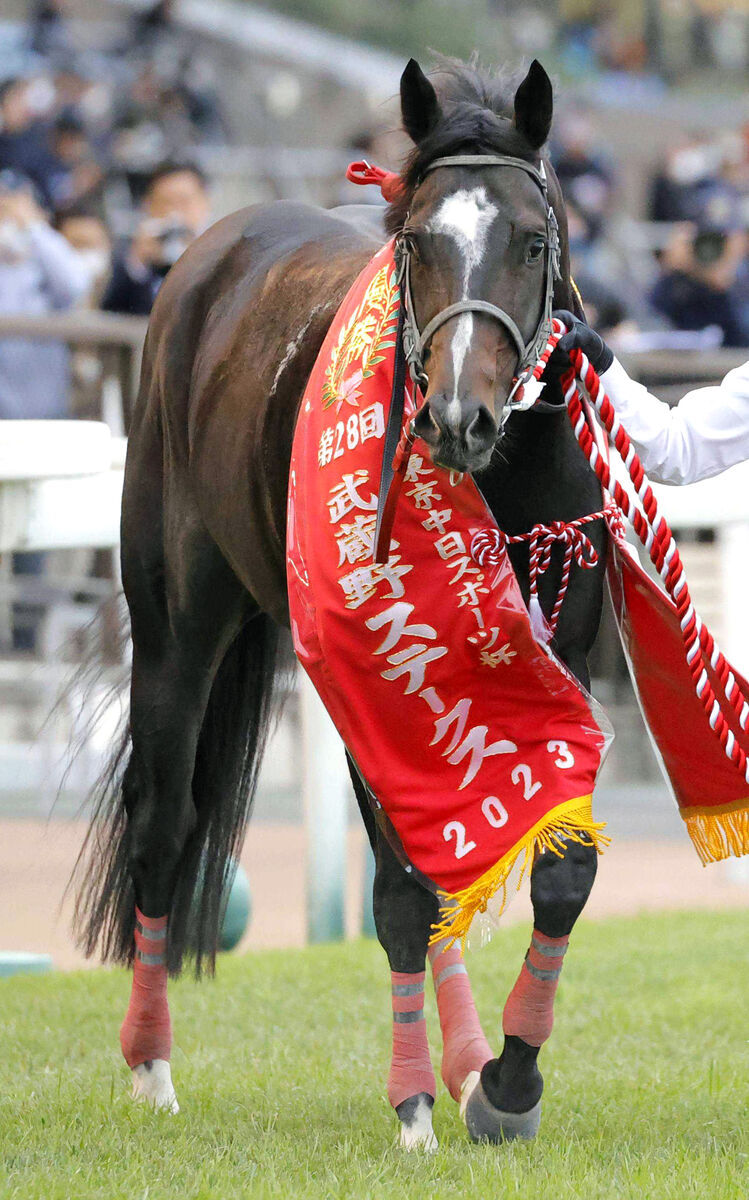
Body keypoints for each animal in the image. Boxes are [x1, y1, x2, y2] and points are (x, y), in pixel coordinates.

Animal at [73, 60, 604, 1147]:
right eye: (416, 243)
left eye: (530, 241)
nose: (458, 415)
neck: (502, 480)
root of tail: (213, 252)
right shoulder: (374, 657)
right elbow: (400, 886)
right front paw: (413, 1107)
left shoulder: (556, 652)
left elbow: (557, 870)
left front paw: (503, 1081)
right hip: (176, 615)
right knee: (162, 820)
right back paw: (151, 1064)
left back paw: (463, 1055)